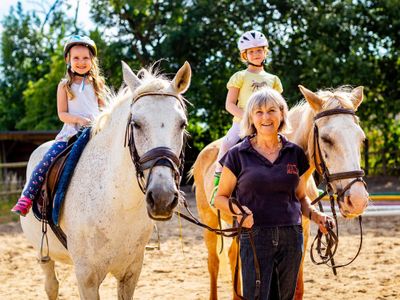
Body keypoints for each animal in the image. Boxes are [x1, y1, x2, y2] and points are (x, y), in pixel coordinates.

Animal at [19, 61, 191, 300]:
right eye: (136, 124)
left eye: (182, 124)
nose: (162, 198)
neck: (118, 203)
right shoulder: (87, 278)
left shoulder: (131, 272)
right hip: (43, 252)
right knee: (51, 286)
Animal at [192, 85, 370, 300]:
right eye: (326, 139)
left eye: (361, 139)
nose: (358, 201)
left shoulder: (303, 231)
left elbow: (297, 287)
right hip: (209, 221)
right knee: (214, 264)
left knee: (234, 258)